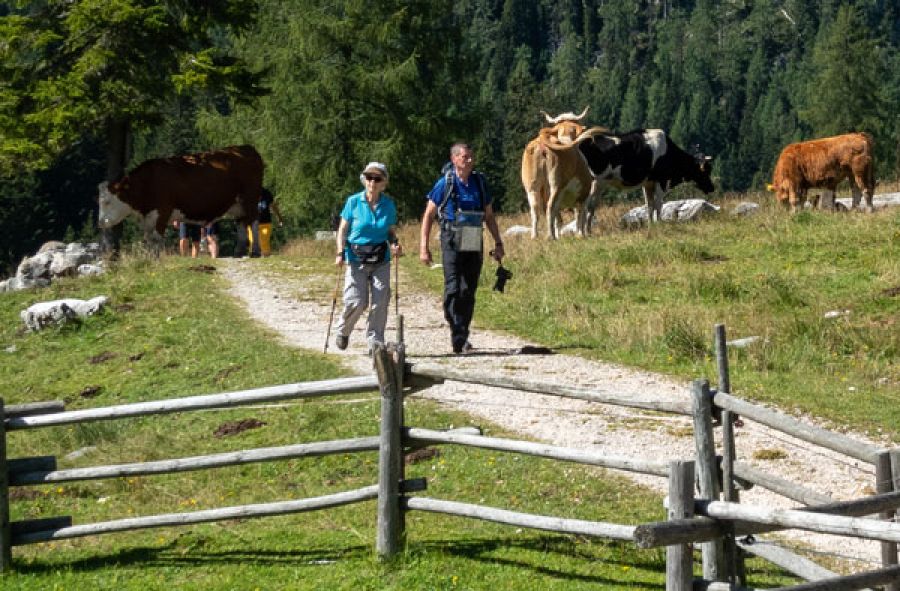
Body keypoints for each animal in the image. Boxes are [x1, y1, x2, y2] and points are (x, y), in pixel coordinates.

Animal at [97, 145, 264, 251]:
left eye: (107, 201)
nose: (101, 222)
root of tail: (245, 148)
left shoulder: (163, 212)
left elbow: (157, 239)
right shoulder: (149, 218)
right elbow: (149, 240)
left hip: (250, 198)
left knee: (254, 221)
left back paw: (255, 251)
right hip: (238, 204)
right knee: (242, 223)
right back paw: (239, 251)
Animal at [543, 127, 714, 225]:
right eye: (706, 171)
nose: (712, 188)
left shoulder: (648, 183)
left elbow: (649, 204)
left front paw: (651, 224)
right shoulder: (661, 180)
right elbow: (659, 204)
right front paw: (659, 223)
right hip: (595, 182)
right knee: (586, 206)